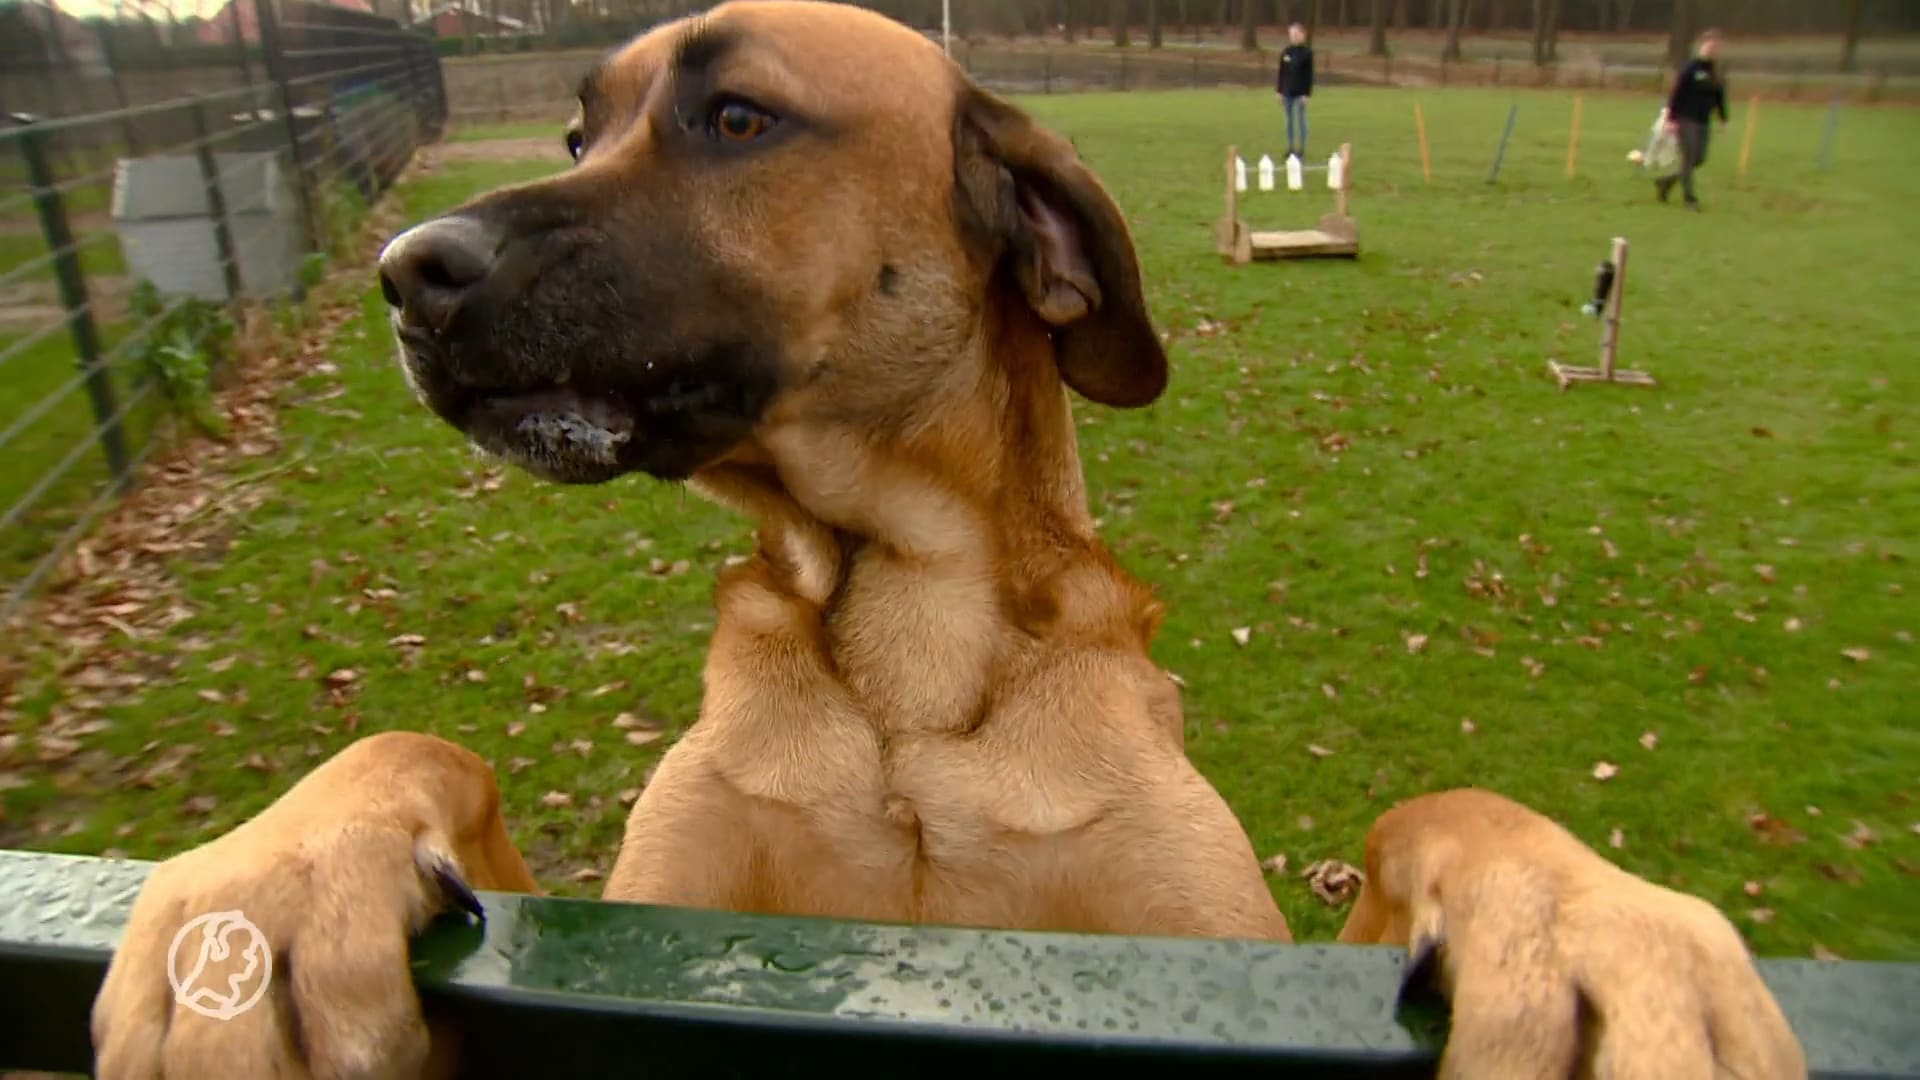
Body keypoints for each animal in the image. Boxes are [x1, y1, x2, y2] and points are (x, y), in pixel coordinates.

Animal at [86, 4, 1797, 1068]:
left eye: (736, 115)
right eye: (580, 131)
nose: (405, 272)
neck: (906, 647)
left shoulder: (1227, 946)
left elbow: (1447, 810)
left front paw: (1590, 929)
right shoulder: (633, 926)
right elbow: (420, 745)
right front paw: (278, 878)